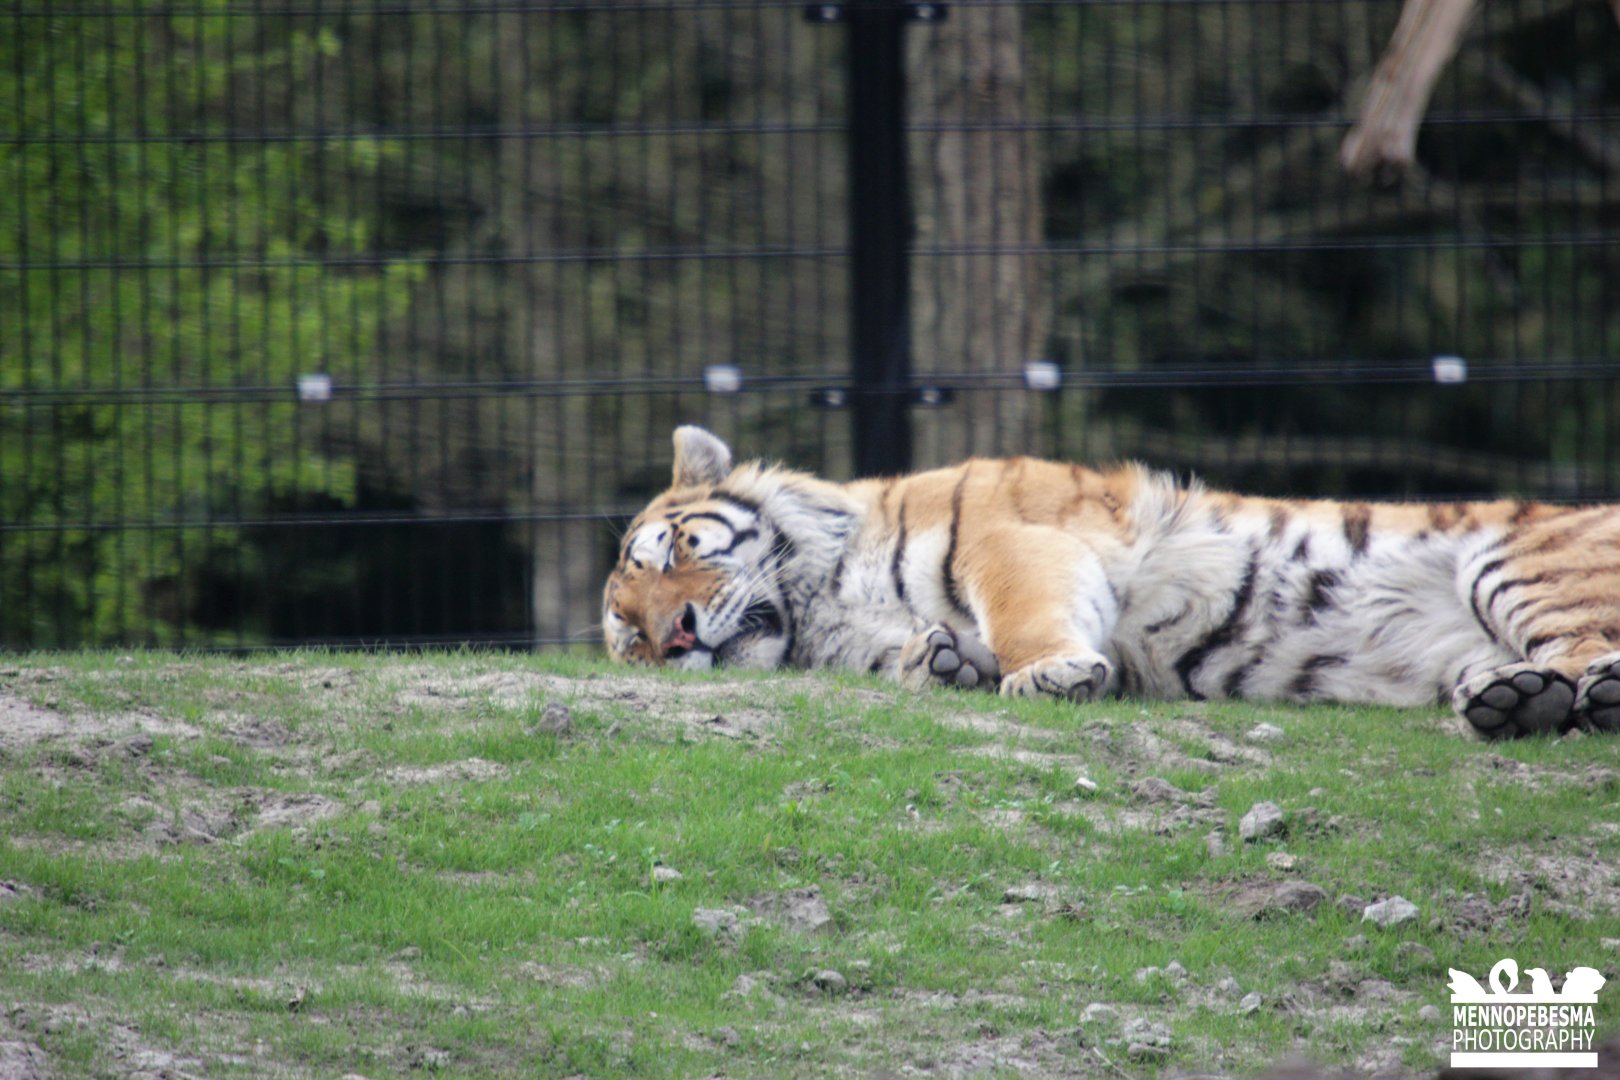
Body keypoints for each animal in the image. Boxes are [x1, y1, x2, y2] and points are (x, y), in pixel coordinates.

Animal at [602, 425, 1620, 739]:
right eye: (632, 640)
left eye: (672, 552)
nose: (677, 636)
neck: (821, 608)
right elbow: (925, 652)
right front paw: (939, 663)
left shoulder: (1013, 541)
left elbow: (1023, 616)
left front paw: (1044, 674)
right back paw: (1512, 700)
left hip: (1512, 562)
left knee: (1590, 645)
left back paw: (1578, 695)